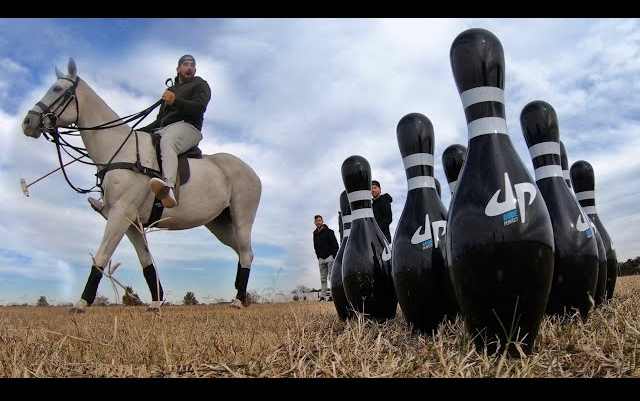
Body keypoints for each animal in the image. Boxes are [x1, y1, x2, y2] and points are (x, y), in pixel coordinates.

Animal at [21, 57, 262, 310]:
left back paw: (238, 300)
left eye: (57, 89)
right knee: (243, 251)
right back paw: (241, 296)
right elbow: (146, 261)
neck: (119, 148)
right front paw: (156, 302)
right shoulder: (130, 221)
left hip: (242, 217)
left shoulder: (120, 213)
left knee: (246, 252)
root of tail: (254, 173)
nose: (28, 122)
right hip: (218, 223)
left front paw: (82, 303)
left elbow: (101, 256)